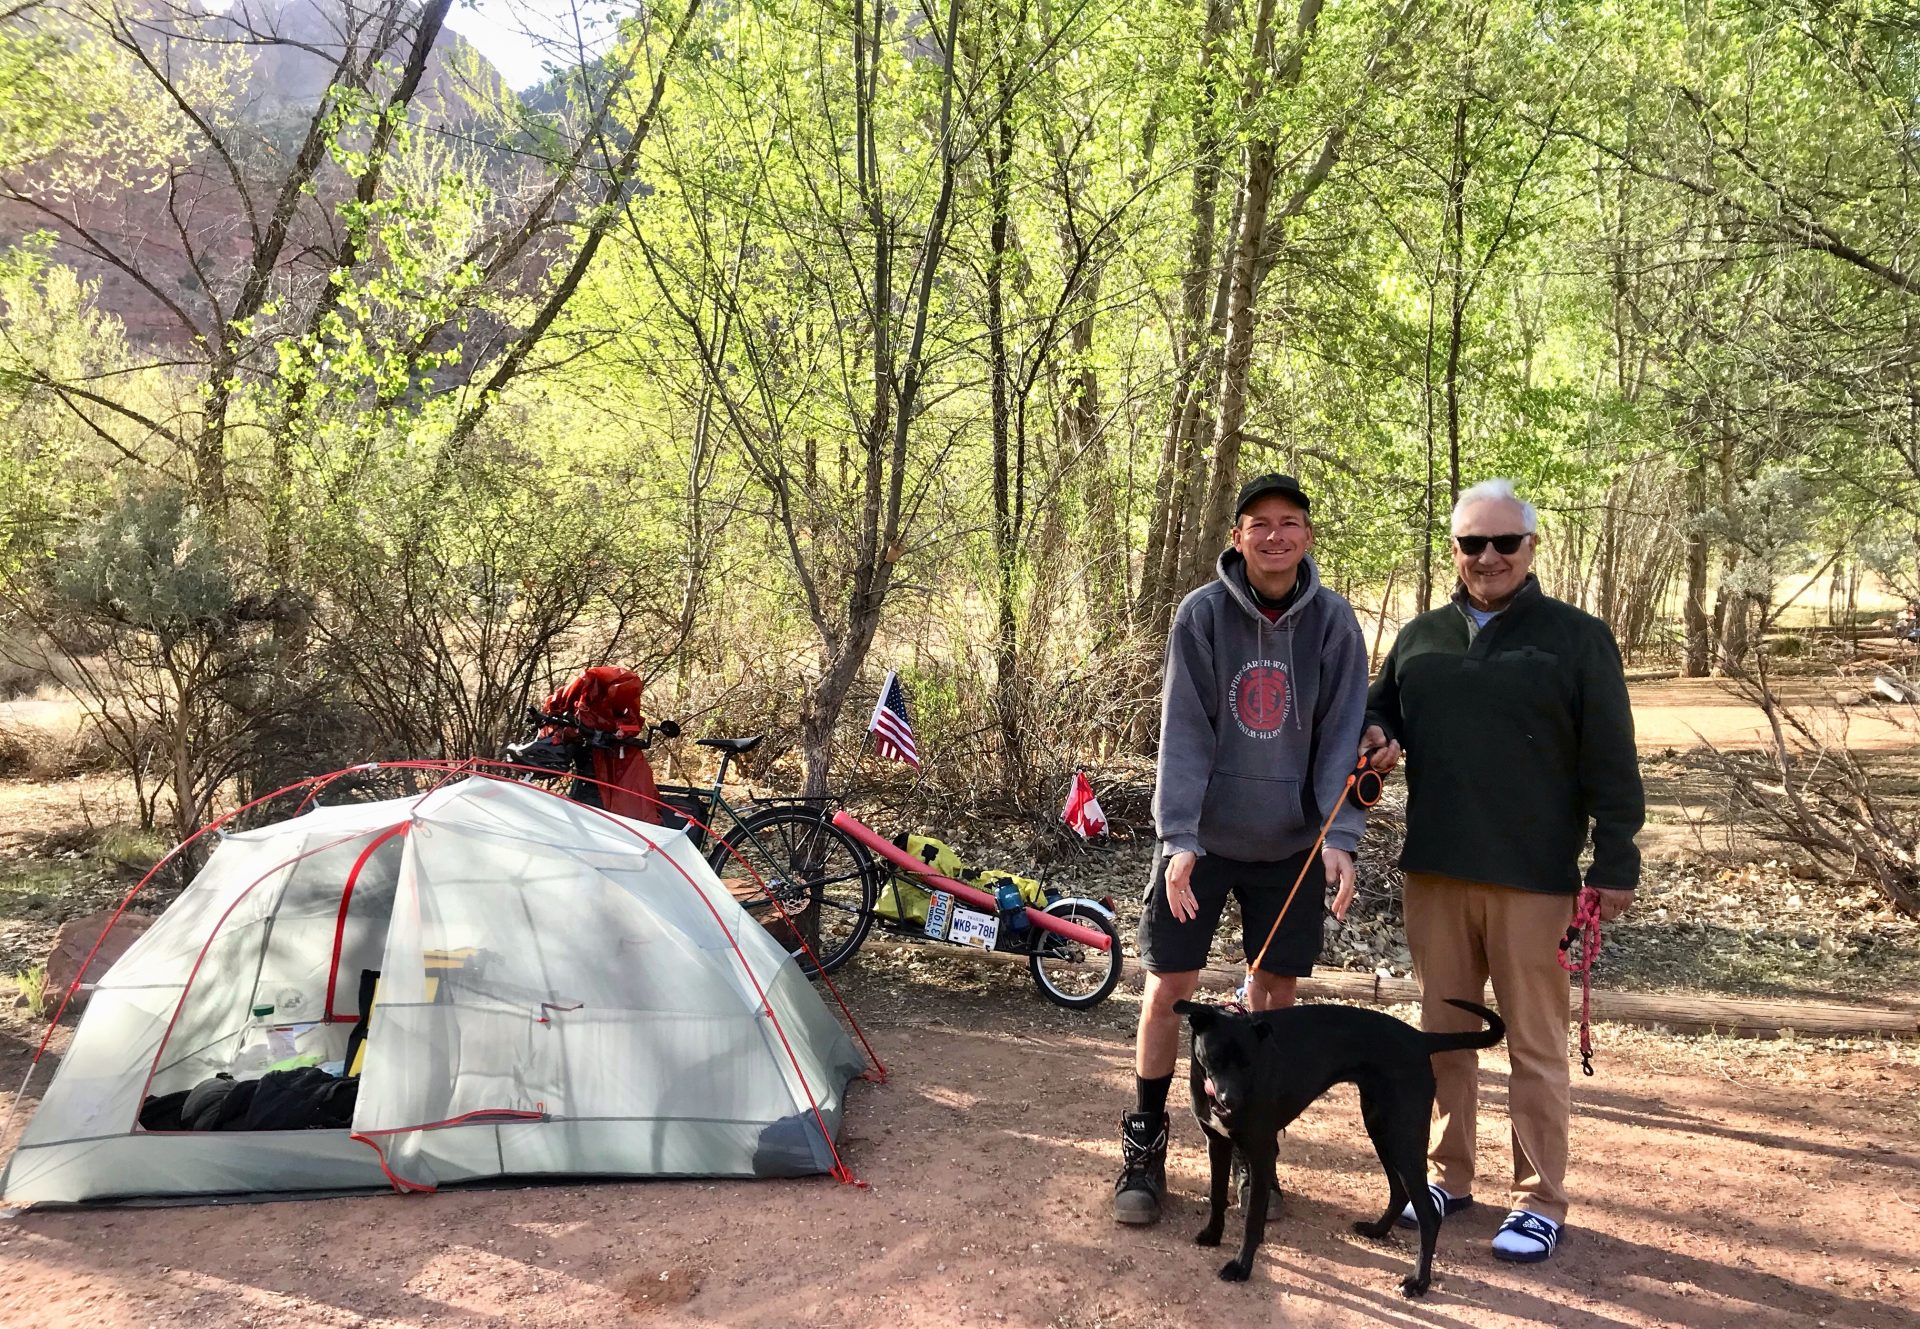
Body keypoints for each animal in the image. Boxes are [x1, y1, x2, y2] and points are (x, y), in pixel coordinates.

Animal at [1175, 998, 1505, 1298]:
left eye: (1248, 1063)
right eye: (1215, 1058)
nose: (1229, 1101)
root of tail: (1418, 1038)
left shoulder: (1262, 1152)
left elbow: (1253, 1220)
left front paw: (1241, 1267)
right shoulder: (1217, 1143)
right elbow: (1217, 1196)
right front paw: (1212, 1234)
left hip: (1403, 1136)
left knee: (1429, 1215)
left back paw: (1418, 1283)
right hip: (1382, 1130)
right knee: (1399, 1192)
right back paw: (1377, 1231)